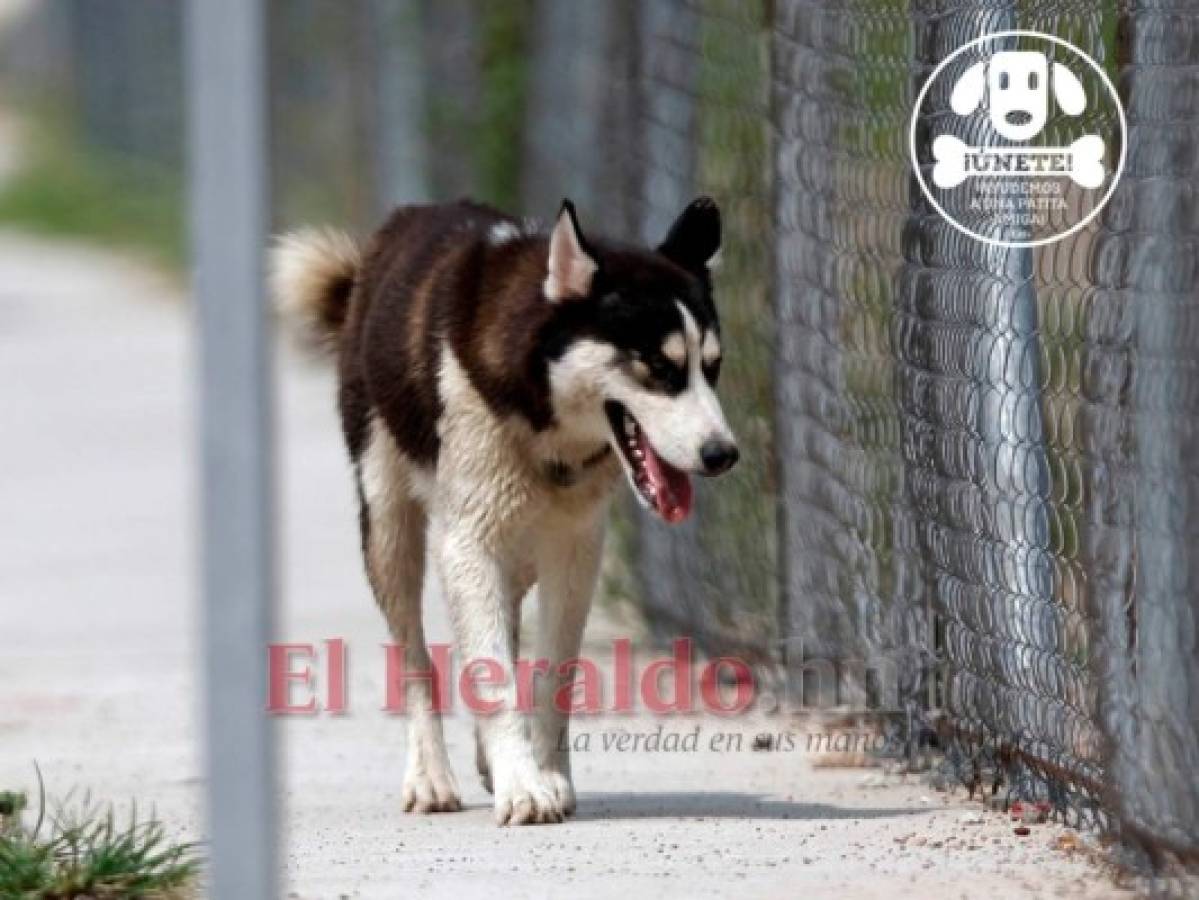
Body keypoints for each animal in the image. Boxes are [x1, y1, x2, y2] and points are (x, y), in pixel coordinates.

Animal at [274, 196, 738, 824]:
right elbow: (489, 674)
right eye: (659, 368)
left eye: (711, 368)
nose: (723, 454)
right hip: (391, 527)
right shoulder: (468, 543)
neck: (543, 421)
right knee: (415, 654)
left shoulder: (575, 548)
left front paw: (544, 773)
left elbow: (550, 672)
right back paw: (431, 775)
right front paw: (523, 784)